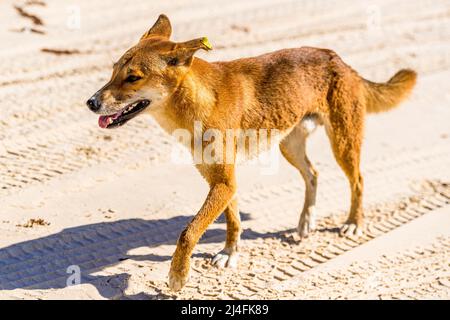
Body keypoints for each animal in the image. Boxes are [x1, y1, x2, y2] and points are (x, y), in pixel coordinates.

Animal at [86, 14, 416, 290]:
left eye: (133, 77)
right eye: (113, 71)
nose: (90, 103)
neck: (198, 101)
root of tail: (339, 59)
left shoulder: (224, 182)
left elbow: (188, 232)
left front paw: (178, 275)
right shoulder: (221, 181)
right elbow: (232, 221)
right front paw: (229, 254)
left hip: (342, 143)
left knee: (357, 180)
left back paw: (353, 223)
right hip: (289, 145)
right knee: (313, 174)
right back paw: (305, 222)